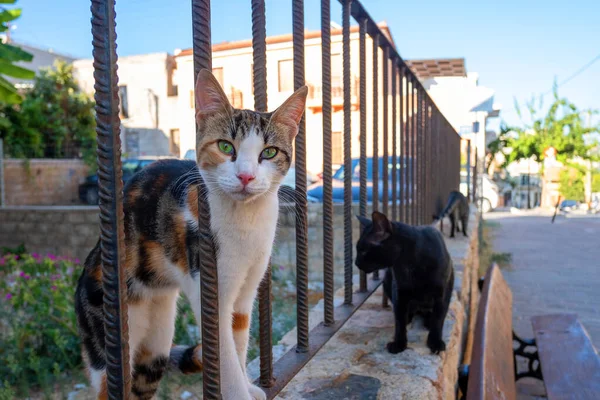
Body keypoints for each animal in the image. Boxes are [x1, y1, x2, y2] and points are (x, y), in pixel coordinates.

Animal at [75, 70, 308, 398]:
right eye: (226, 147)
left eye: (269, 152)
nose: (246, 176)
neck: (246, 222)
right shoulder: (210, 290)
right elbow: (226, 360)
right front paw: (240, 392)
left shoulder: (245, 292)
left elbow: (238, 344)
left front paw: (250, 387)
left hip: (156, 346)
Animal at [356, 211, 454, 354]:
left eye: (363, 250)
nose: (356, 263)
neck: (410, 263)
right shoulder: (399, 292)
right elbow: (399, 320)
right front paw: (399, 343)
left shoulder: (442, 294)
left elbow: (438, 319)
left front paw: (435, 342)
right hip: (387, 279)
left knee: (430, 313)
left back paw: (428, 321)